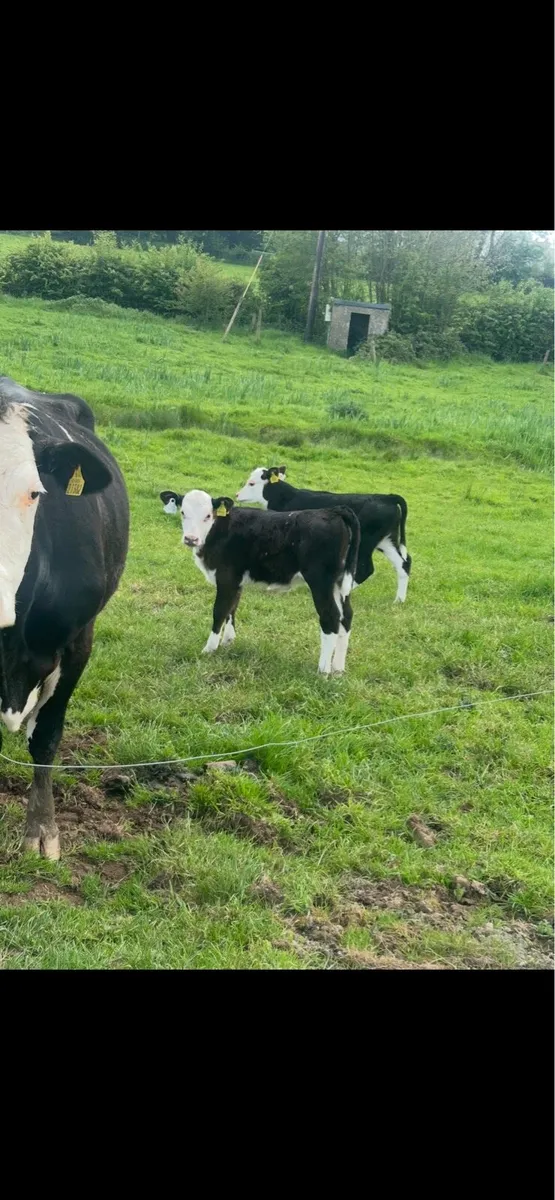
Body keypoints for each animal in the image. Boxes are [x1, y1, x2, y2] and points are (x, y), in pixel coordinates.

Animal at [159, 488, 360, 675]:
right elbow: (232, 608)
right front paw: (227, 641)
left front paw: (209, 649)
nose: (191, 539)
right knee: (346, 617)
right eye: (183, 512)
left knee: (331, 617)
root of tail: (334, 510)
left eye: (208, 515)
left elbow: (220, 611)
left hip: (321, 582)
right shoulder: (236, 581)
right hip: (339, 584)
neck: (217, 531)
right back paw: (338, 670)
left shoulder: (226, 577)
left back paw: (323, 671)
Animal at [235, 466, 412, 603]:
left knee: (366, 569)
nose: (237, 495)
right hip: (387, 541)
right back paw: (399, 600)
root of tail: (387, 497)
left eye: (251, 483)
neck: (286, 498)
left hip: (365, 543)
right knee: (403, 563)